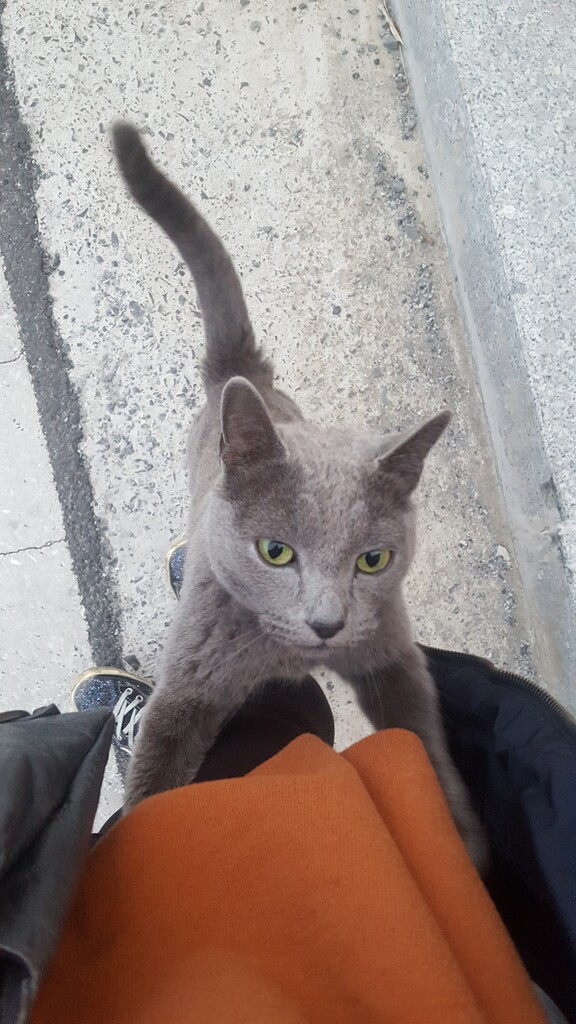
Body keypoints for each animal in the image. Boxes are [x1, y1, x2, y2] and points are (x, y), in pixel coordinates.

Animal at [113, 123, 487, 872]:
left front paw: (457, 842)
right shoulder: (190, 680)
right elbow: (158, 773)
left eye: (373, 560)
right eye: (274, 552)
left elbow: (420, 737)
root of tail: (240, 372)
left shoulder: (390, 649)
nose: (326, 623)